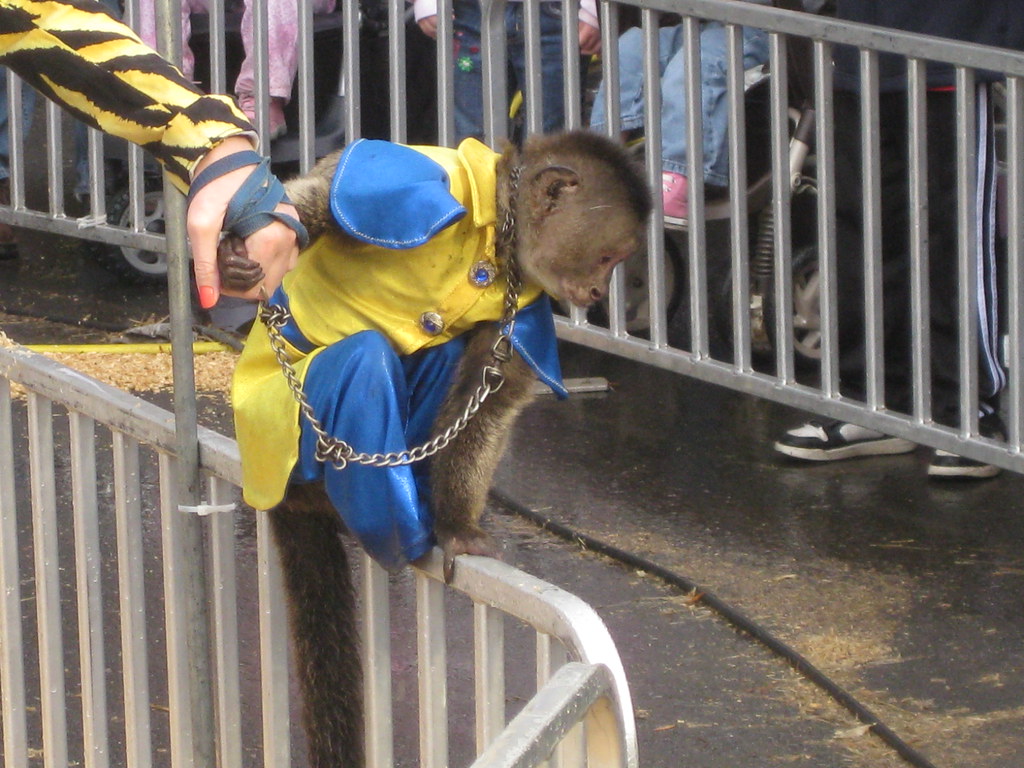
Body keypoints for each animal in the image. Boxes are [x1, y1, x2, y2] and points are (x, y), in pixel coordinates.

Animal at [222, 130, 651, 767]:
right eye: (605, 259)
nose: (597, 292)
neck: (495, 243)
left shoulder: (524, 302)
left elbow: (491, 403)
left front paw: (457, 527)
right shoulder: (406, 181)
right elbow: (304, 209)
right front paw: (233, 252)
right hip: (284, 445)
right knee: (363, 358)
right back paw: (374, 519)